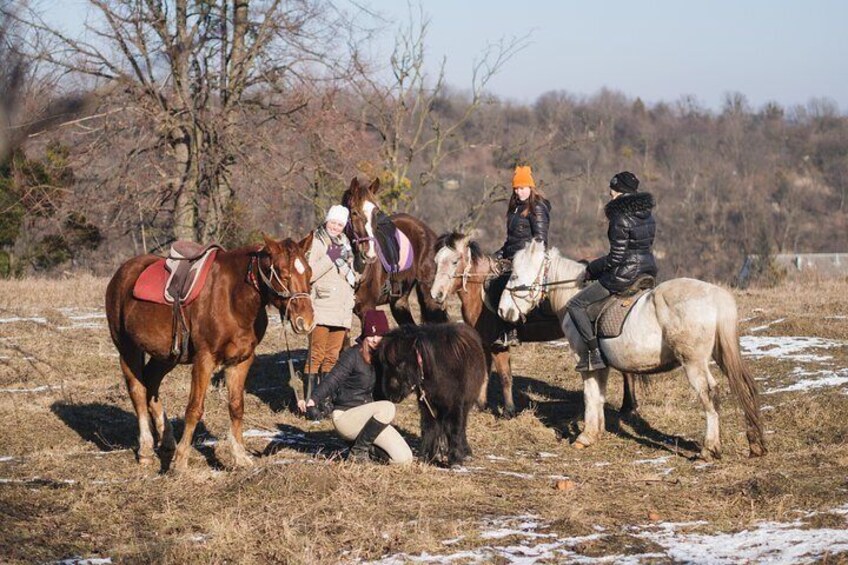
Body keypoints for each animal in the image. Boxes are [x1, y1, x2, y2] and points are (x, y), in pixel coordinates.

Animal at [105, 234, 314, 472]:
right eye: (281, 271)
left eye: (309, 272)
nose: (306, 321)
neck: (233, 298)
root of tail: (123, 272)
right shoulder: (204, 359)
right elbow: (194, 409)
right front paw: (180, 462)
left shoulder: (241, 361)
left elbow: (236, 407)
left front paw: (240, 457)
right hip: (127, 348)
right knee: (138, 391)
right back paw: (146, 450)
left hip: (166, 355)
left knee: (151, 382)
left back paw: (167, 441)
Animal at [342, 176, 450, 326]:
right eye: (354, 212)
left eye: (376, 213)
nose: (370, 254)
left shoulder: (367, 309)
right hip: (399, 302)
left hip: (430, 297)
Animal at [378, 322, 484, 468]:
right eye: (384, 364)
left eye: (401, 364)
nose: (390, 395)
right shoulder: (427, 404)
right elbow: (428, 427)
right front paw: (425, 456)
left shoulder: (455, 405)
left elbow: (454, 428)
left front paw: (455, 460)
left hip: (465, 405)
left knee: (461, 426)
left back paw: (465, 452)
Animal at [430, 230, 644, 418]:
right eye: (436, 261)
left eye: (455, 261)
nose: (436, 294)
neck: (480, 290)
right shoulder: (484, 343)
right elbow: (484, 373)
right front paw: (480, 406)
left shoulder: (498, 345)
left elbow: (505, 376)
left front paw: (509, 412)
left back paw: (629, 408)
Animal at [496, 239, 768, 458]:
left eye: (514, 276)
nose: (502, 311)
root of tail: (716, 296)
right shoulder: (601, 365)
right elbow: (598, 396)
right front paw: (595, 433)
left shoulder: (586, 360)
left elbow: (589, 395)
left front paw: (585, 436)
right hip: (720, 355)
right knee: (742, 387)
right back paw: (755, 444)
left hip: (693, 362)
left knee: (709, 394)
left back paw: (709, 449)